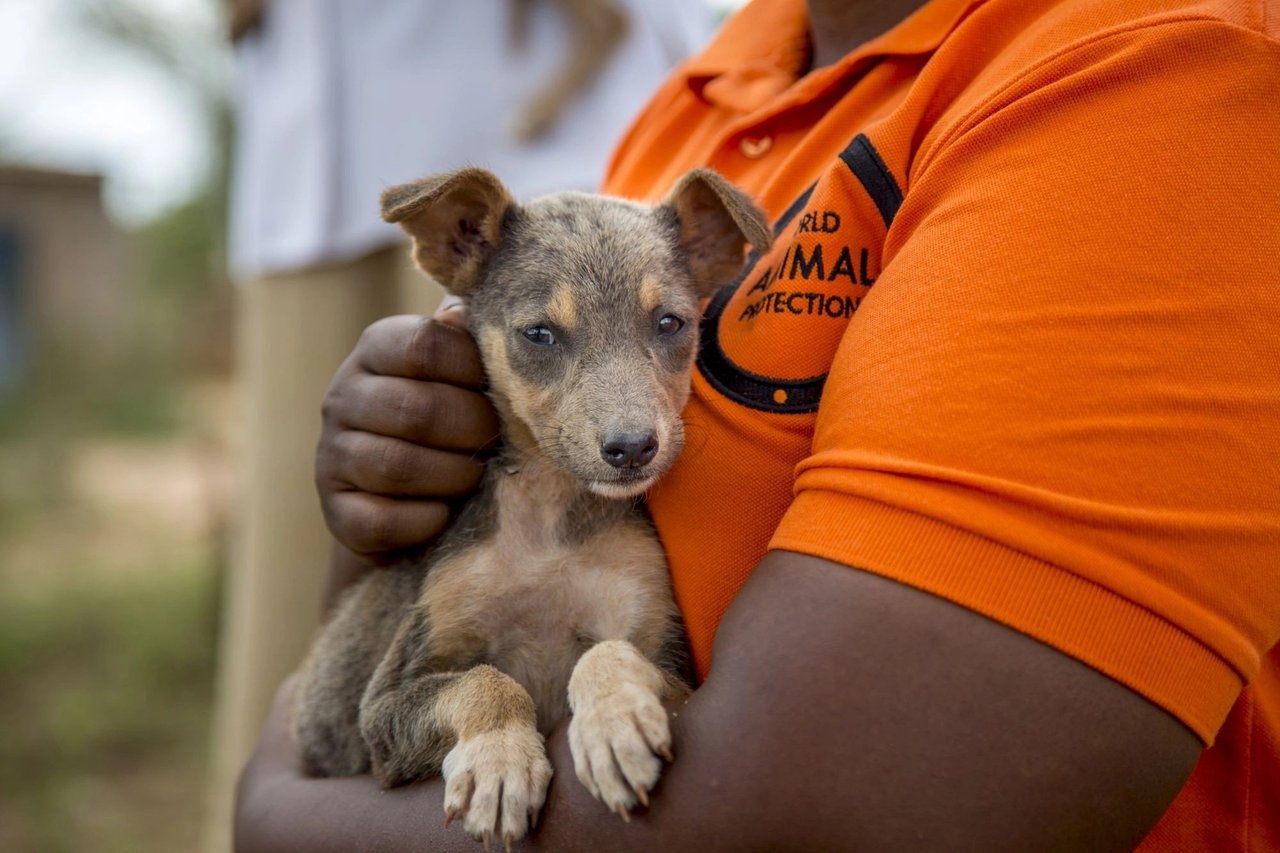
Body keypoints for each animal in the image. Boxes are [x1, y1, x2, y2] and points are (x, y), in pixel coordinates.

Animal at [290, 166, 768, 845]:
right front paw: (500, 763)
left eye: (671, 323)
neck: (548, 517)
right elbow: (487, 681)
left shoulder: (670, 661)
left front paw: (614, 721)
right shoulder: (385, 705)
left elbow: (604, 651)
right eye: (539, 334)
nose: (632, 448)